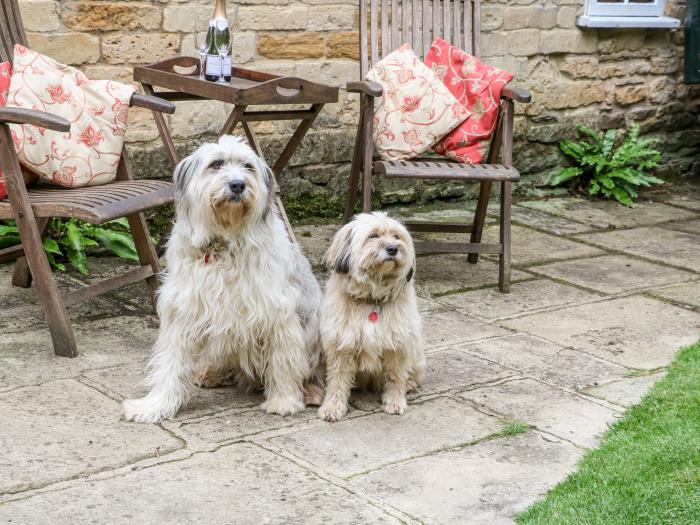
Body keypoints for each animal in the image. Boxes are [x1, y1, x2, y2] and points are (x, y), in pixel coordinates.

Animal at [123, 134, 326, 422]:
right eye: (216, 164)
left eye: (248, 167)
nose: (238, 184)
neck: (223, 244)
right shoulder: (184, 309)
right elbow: (171, 364)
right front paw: (155, 406)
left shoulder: (277, 311)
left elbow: (283, 360)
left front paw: (284, 400)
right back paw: (212, 373)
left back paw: (310, 391)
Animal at [318, 211, 426, 420]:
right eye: (373, 236)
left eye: (396, 236)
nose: (393, 249)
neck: (372, 298)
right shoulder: (341, 346)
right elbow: (337, 382)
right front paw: (333, 407)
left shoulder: (398, 347)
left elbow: (395, 378)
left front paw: (395, 402)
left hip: (416, 354)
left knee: (411, 375)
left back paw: (408, 385)